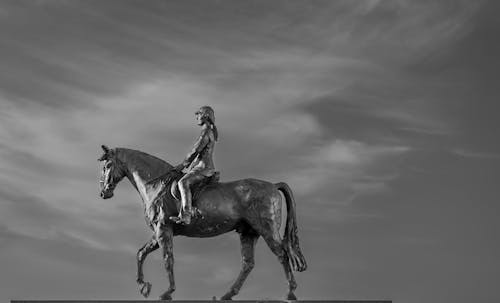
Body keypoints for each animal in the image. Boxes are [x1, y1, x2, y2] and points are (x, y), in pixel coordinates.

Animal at [96, 145, 306, 302]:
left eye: (107, 165)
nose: (103, 192)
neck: (156, 185)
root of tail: (273, 186)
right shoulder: (159, 232)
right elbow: (141, 253)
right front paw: (143, 286)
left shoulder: (163, 230)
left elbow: (167, 259)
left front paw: (167, 292)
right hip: (248, 232)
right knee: (248, 264)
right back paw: (227, 295)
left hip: (266, 229)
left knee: (282, 254)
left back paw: (290, 292)